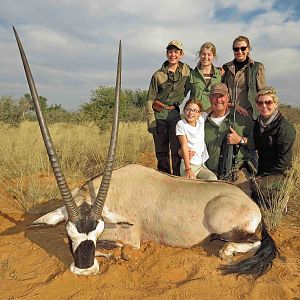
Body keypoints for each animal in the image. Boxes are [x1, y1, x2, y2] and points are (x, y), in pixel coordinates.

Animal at [12, 27, 278, 278]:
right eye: (70, 233)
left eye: (97, 231)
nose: (85, 269)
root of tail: (250, 204)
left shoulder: (131, 235)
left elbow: (117, 243)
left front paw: (112, 253)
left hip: (225, 227)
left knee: (247, 242)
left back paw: (225, 250)